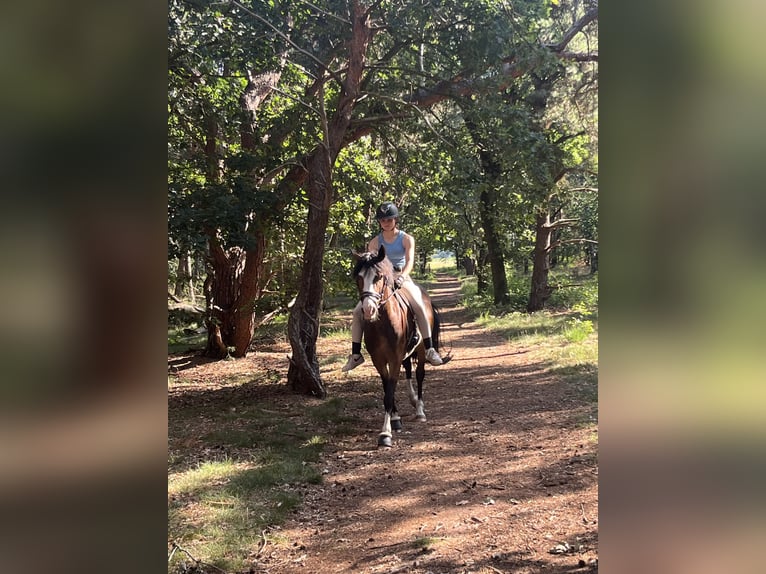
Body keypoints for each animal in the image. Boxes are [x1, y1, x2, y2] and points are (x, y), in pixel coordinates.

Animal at [352, 245, 444, 448]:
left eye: (378, 277)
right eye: (358, 278)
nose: (368, 310)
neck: (382, 322)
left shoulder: (394, 358)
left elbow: (390, 392)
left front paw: (385, 434)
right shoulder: (379, 359)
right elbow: (387, 388)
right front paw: (394, 419)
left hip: (421, 349)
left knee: (419, 374)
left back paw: (420, 410)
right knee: (408, 369)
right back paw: (412, 400)